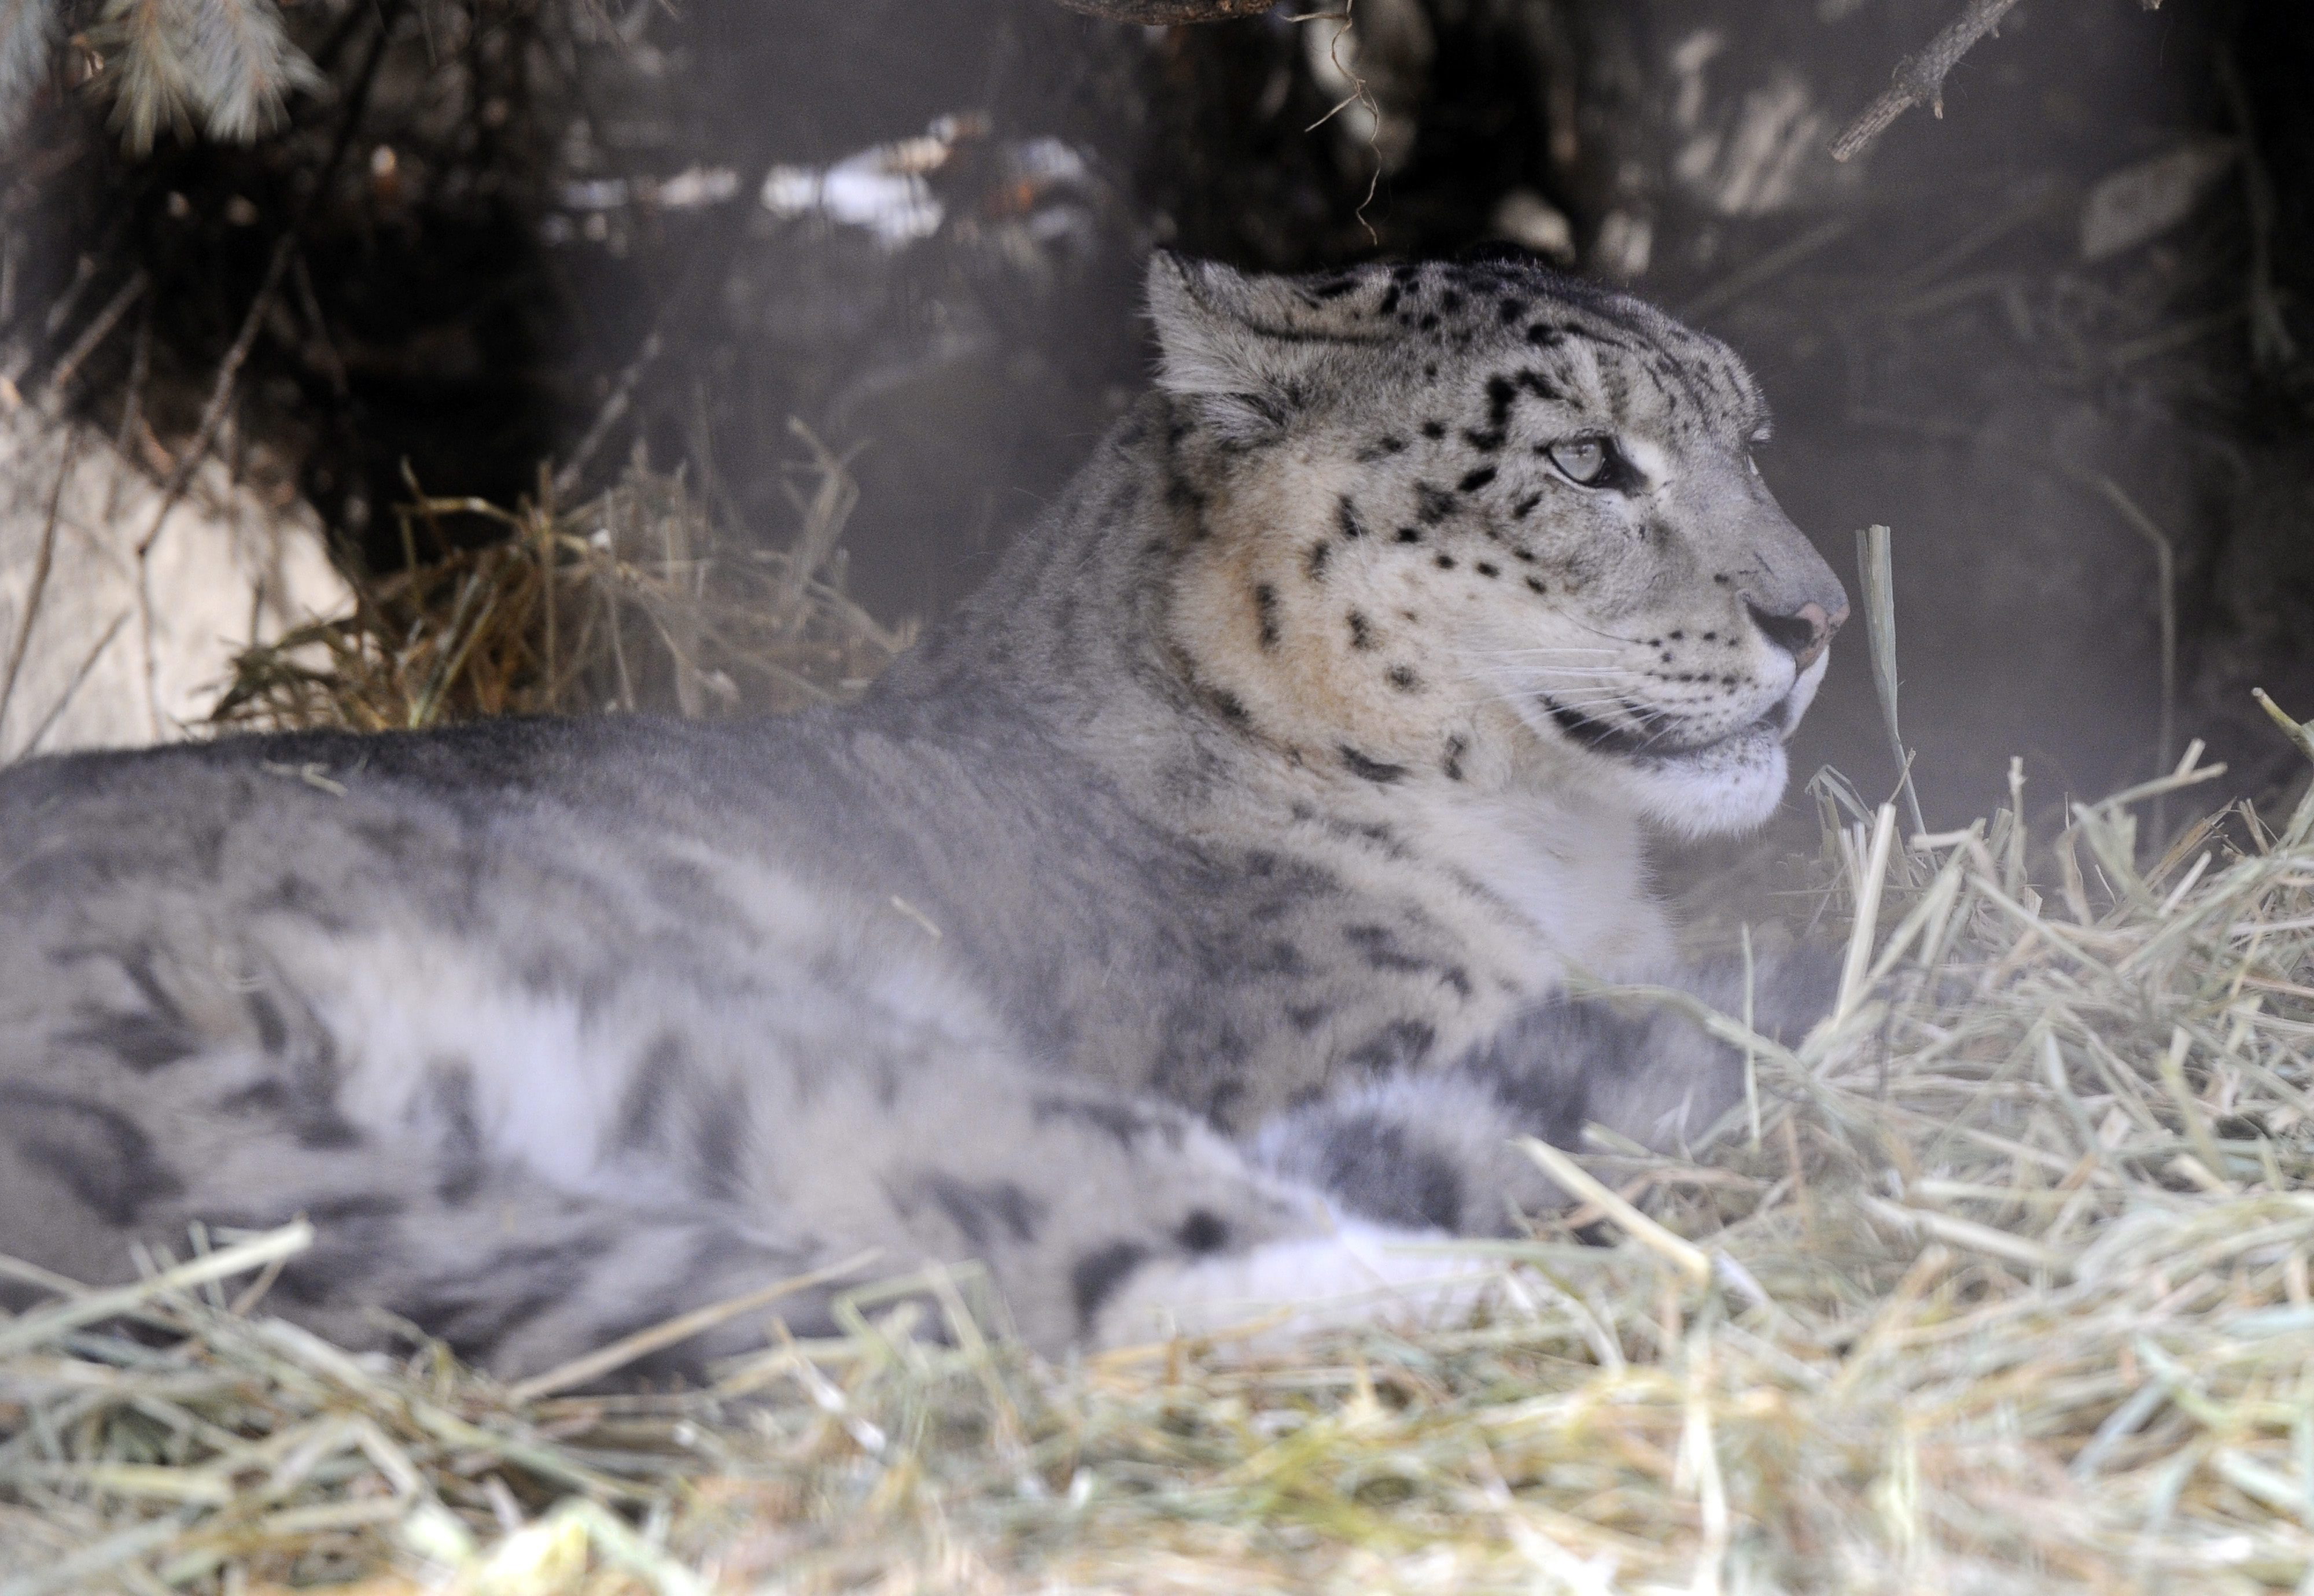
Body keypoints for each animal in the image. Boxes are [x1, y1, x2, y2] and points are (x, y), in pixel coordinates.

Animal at [0, 254, 1842, 1369]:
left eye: (1753, 436)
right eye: (1587, 460)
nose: (1818, 616)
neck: (1570, 860)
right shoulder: (1372, 1030)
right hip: (699, 998)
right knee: (1070, 1243)